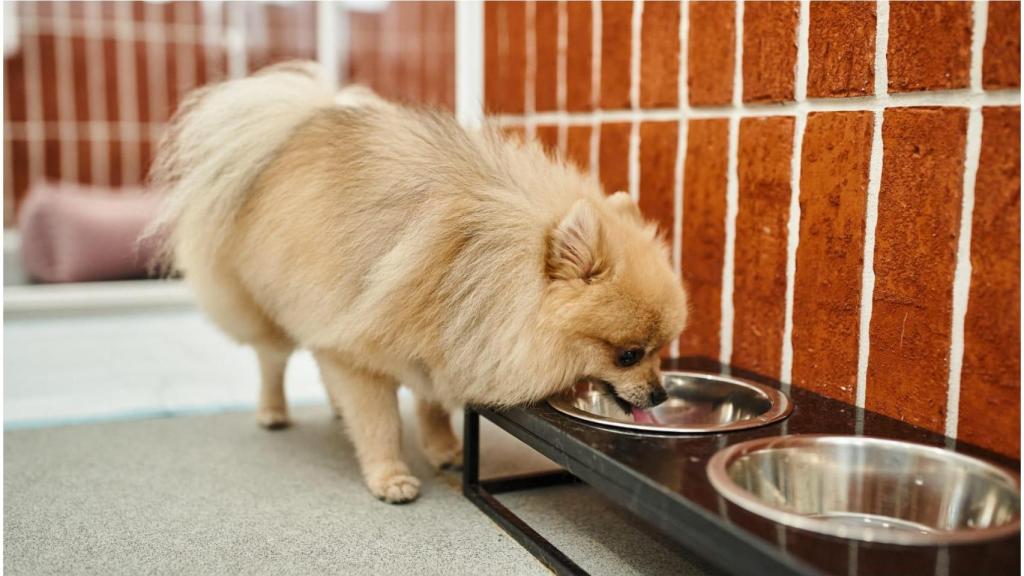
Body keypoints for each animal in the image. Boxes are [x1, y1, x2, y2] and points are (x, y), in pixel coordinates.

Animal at [148, 61, 688, 502]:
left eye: (662, 350)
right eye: (628, 355)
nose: (660, 394)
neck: (479, 262)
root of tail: (295, 128)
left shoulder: (440, 336)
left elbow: (430, 404)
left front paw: (444, 447)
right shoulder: (359, 348)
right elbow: (380, 421)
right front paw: (389, 475)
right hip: (268, 305)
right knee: (271, 360)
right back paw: (273, 411)